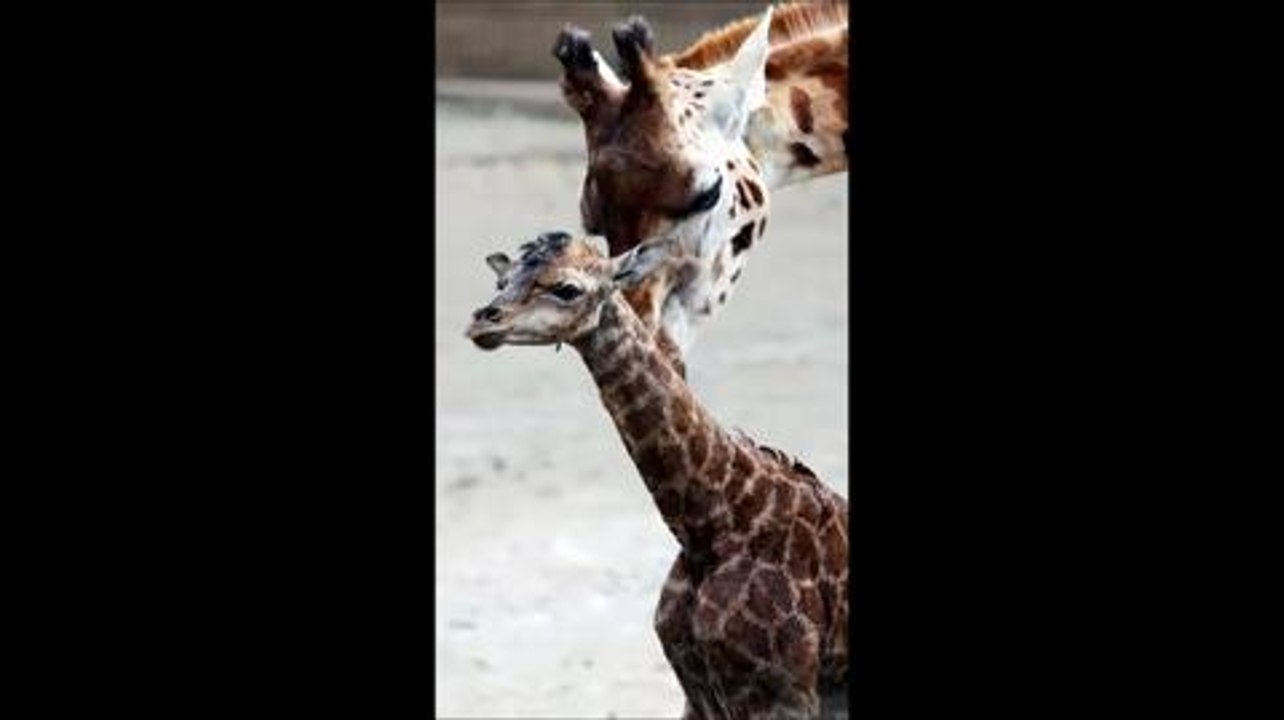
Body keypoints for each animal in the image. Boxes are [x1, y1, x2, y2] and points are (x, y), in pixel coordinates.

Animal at [465, 232, 849, 719]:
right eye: (502, 280)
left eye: (567, 289)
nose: (481, 322)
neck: (715, 525)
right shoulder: (697, 688)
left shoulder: (782, 691)